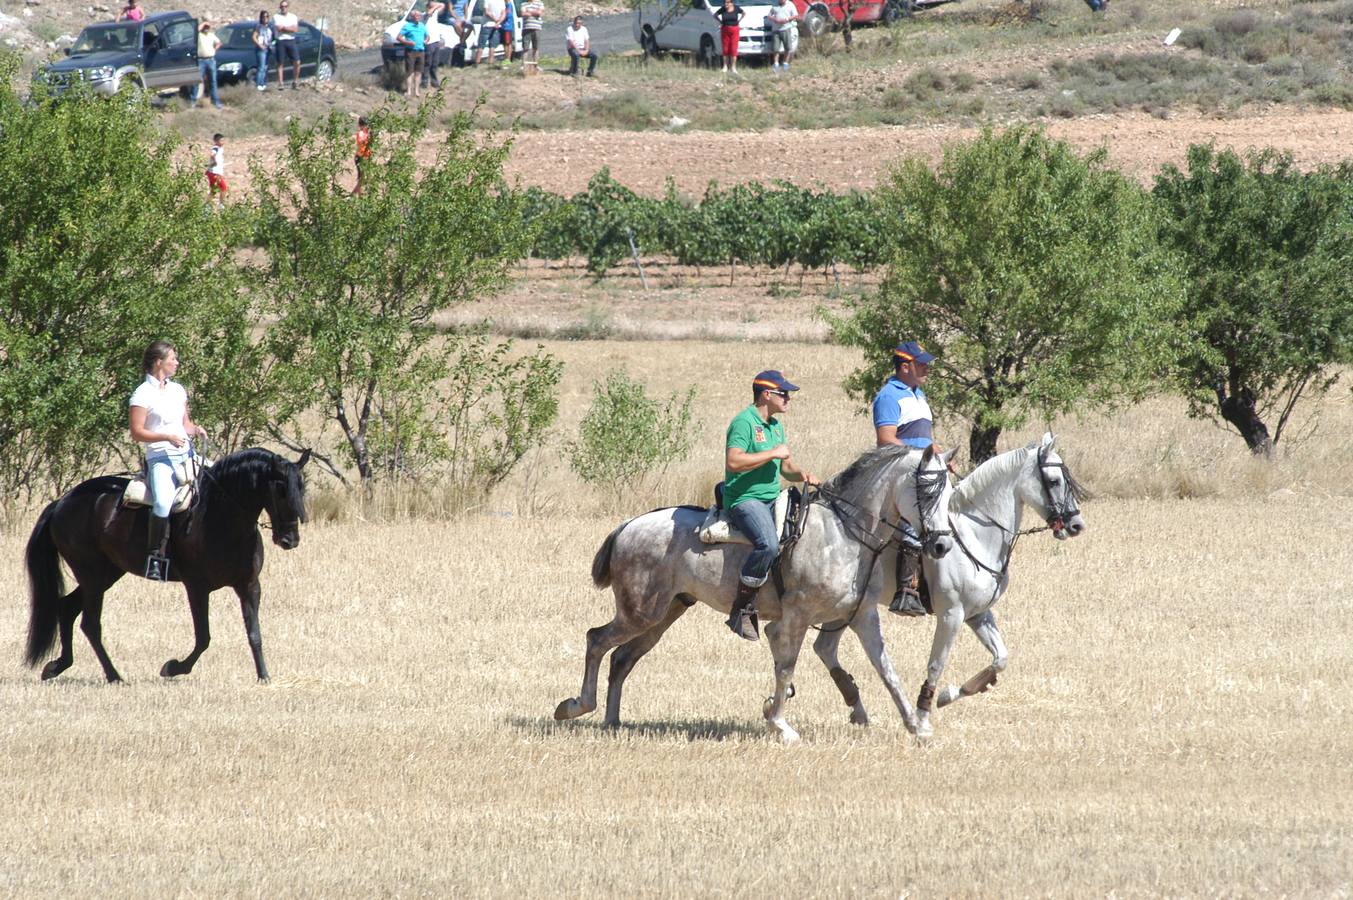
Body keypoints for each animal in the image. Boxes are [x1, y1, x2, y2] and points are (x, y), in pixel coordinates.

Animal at [25, 446, 309, 684]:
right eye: (280, 488)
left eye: (302, 487)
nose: (290, 540)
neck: (220, 517)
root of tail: (62, 502)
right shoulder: (197, 588)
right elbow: (203, 638)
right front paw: (173, 668)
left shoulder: (249, 585)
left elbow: (254, 633)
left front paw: (264, 676)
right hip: (92, 575)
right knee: (90, 623)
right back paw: (114, 676)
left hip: (106, 574)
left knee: (67, 609)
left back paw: (57, 667)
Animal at [554, 441, 957, 741]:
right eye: (926, 490)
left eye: (949, 491)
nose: (941, 546)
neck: (844, 531)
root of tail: (628, 525)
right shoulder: (793, 619)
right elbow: (786, 669)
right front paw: (780, 725)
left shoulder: (862, 616)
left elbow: (886, 669)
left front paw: (916, 726)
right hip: (639, 612)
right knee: (596, 640)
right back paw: (576, 706)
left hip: (663, 614)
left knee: (622, 658)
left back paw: (612, 720)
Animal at [811, 433, 1087, 736]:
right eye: (1054, 481)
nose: (1076, 525)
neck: (976, 538)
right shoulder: (951, 614)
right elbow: (936, 664)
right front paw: (922, 718)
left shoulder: (978, 614)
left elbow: (1000, 658)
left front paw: (953, 693)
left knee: (824, 647)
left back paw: (857, 708)